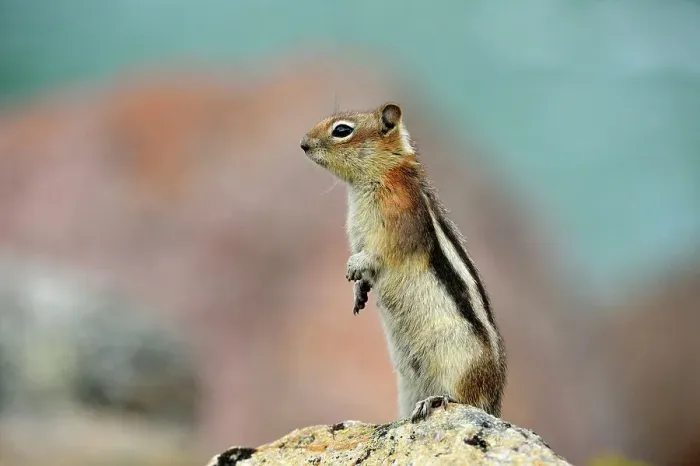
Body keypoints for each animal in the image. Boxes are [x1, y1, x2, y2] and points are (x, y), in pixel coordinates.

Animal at [300, 103, 507, 422]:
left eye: (342, 130)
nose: (303, 143)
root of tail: (495, 404)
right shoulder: (357, 233)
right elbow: (365, 264)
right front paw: (359, 291)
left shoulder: (397, 224)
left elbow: (379, 253)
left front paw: (354, 267)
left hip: (459, 362)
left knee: (466, 399)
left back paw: (435, 400)